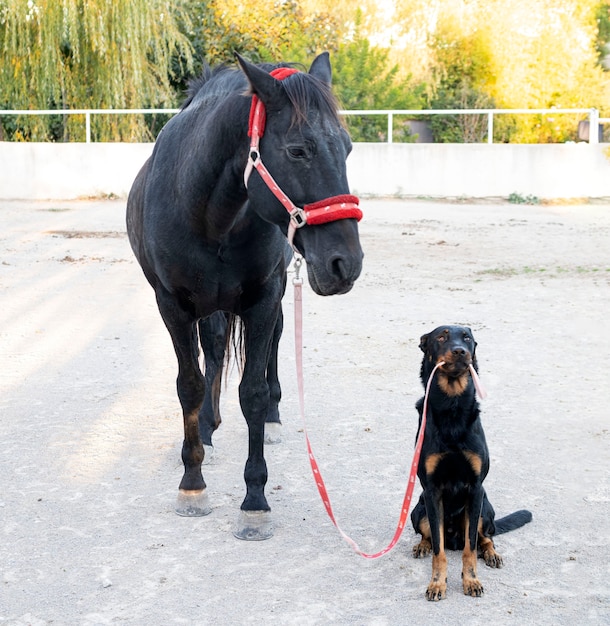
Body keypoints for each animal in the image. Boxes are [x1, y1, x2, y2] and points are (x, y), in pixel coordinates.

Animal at [124, 53, 360, 536]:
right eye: (298, 150)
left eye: (346, 148)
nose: (346, 263)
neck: (210, 214)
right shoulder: (172, 305)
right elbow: (190, 385)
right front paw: (192, 484)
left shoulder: (263, 299)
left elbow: (252, 391)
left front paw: (254, 501)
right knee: (213, 351)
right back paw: (207, 431)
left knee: (272, 346)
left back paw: (272, 418)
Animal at [408, 324, 532, 596]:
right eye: (440, 337)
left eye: (467, 338)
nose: (460, 351)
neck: (452, 406)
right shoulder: (431, 490)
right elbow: (438, 550)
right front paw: (437, 583)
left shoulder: (475, 488)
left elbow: (471, 548)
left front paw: (471, 580)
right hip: (418, 510)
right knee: (431, 536)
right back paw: (422, 545)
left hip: (484, 507)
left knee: (485, 537)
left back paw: (492, 553)